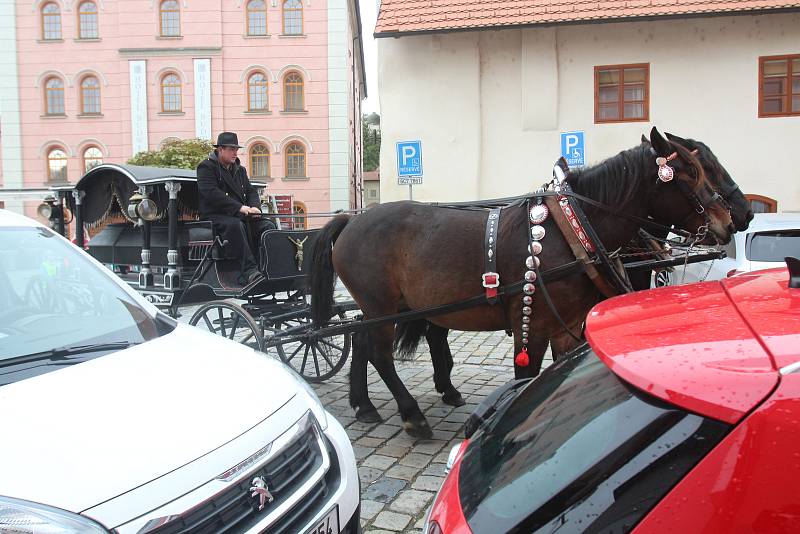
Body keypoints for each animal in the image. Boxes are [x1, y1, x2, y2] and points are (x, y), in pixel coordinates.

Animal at [310, 127, 736, 438]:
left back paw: (365, 405)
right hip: (380, 305)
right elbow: (526, 377)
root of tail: (351, 220)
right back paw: (412, 415)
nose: (731, 221)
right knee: (380, 354)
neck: (572, 229)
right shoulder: (531, 322)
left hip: (386, 307)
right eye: (692, 173)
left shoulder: (567, 326)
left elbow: (560, 372)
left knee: (361, 340)